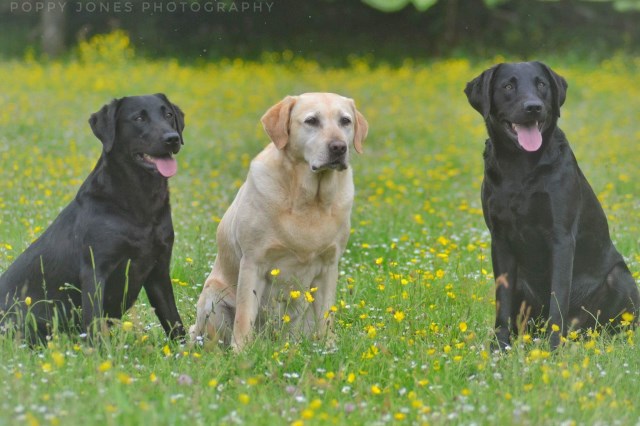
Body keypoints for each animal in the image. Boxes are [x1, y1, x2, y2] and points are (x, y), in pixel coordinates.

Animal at [1, 94, 188, 342]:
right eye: (139, 118)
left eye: (168, 115)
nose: (172, 138)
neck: (140, 205)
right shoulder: (95, 271)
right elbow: (93, 323)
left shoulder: (159, 270)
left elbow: (174, 321)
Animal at [464, 63, 640, 350]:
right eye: (508, 86)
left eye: (541, 85)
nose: (533, 107)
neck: (520, 167)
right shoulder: (499, 239)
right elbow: (502, 301)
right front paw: (499, 347)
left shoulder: (561, 237)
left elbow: (558, 297)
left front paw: (553, 348)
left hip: (618, 277)